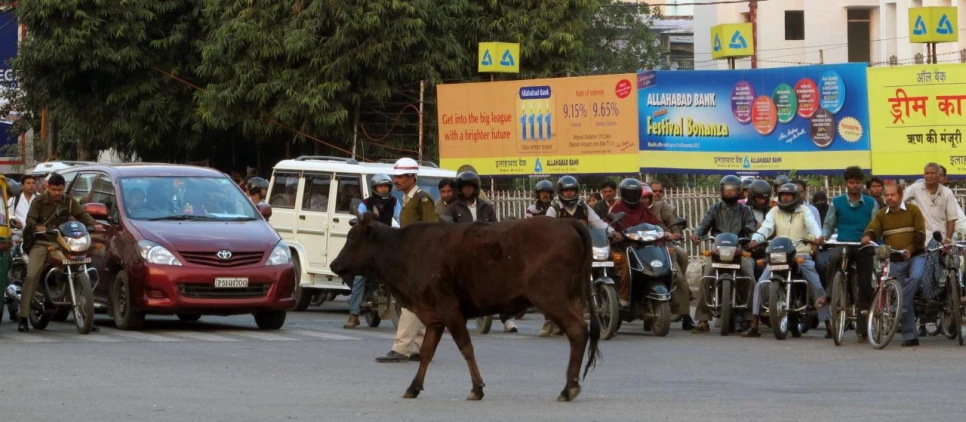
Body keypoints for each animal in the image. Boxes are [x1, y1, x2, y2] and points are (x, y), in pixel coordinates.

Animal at [336, 214, 600, 402]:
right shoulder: (434, 317)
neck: (404, 251)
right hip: (572, 297)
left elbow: (466, 348)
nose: (334, 263)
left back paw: (569, 388)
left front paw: (477, 388)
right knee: (579, 333)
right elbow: (427, 352)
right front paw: (414, 387)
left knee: (578, 330)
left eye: (351, 238)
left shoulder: (449, 310)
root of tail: (566, 222)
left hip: (551, 297)